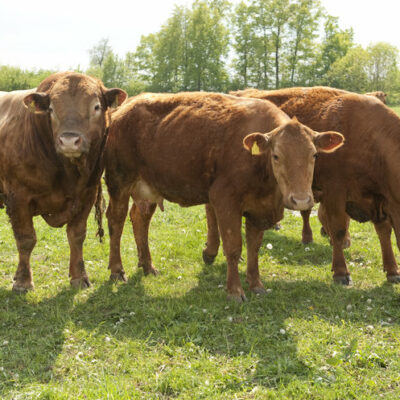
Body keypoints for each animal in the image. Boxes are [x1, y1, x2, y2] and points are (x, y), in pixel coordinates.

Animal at [0, 72, 126, 290]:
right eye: (51, 109)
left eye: (96, 107)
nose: (69, 141)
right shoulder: (18, 197)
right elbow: (26, 239)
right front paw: (23, 281)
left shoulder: (86, 194)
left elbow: (76, 235)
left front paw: (79, 276)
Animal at [104, 92, 342, 302]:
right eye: (276, 156)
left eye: (314, 155)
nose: (300, 200)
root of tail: (125, 108)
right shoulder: (225, 200)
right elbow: (233, 247)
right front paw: (235, 291)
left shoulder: (258, 209)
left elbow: (254, 247)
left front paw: (256, 285)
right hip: (119, 181)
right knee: (116, 221)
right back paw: (117, 270)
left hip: (147, 187)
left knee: (140, 218)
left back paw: (147, 265)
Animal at [227, 87, 400, 284]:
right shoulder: (334, 192)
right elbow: (338, 228)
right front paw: (341, 271)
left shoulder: (381, 198)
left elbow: (384, 231)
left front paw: (392, 269)